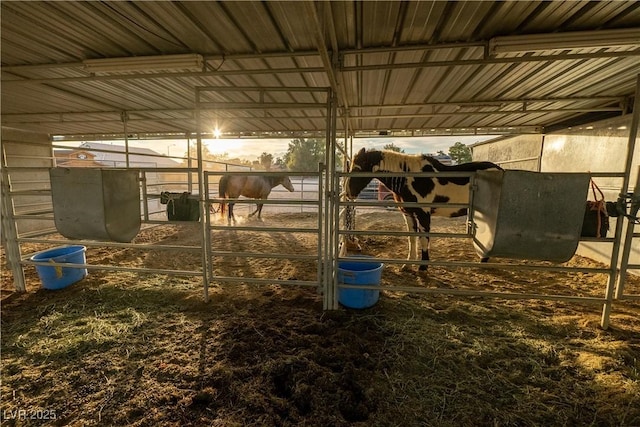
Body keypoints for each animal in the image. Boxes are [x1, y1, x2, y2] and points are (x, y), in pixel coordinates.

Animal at [344, 149, 500, 272]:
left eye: (357, 169)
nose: (348, 193)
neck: (408, 178)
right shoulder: (408, 213)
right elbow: (412, 239)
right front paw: (408, 264)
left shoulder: (423, 213)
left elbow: (424, 238)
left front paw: (423, 266)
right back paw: (483, 260)